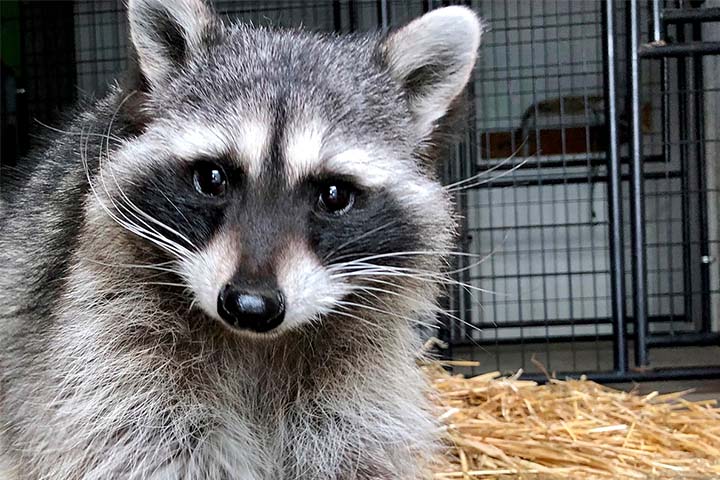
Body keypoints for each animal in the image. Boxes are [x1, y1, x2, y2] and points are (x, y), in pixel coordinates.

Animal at [0, 1, 481, 478]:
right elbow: (136, 442)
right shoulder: (109, 346)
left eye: (334, 194)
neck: (256, 344)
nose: (251, 306)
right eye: (212, 178)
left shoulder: (358, 379)